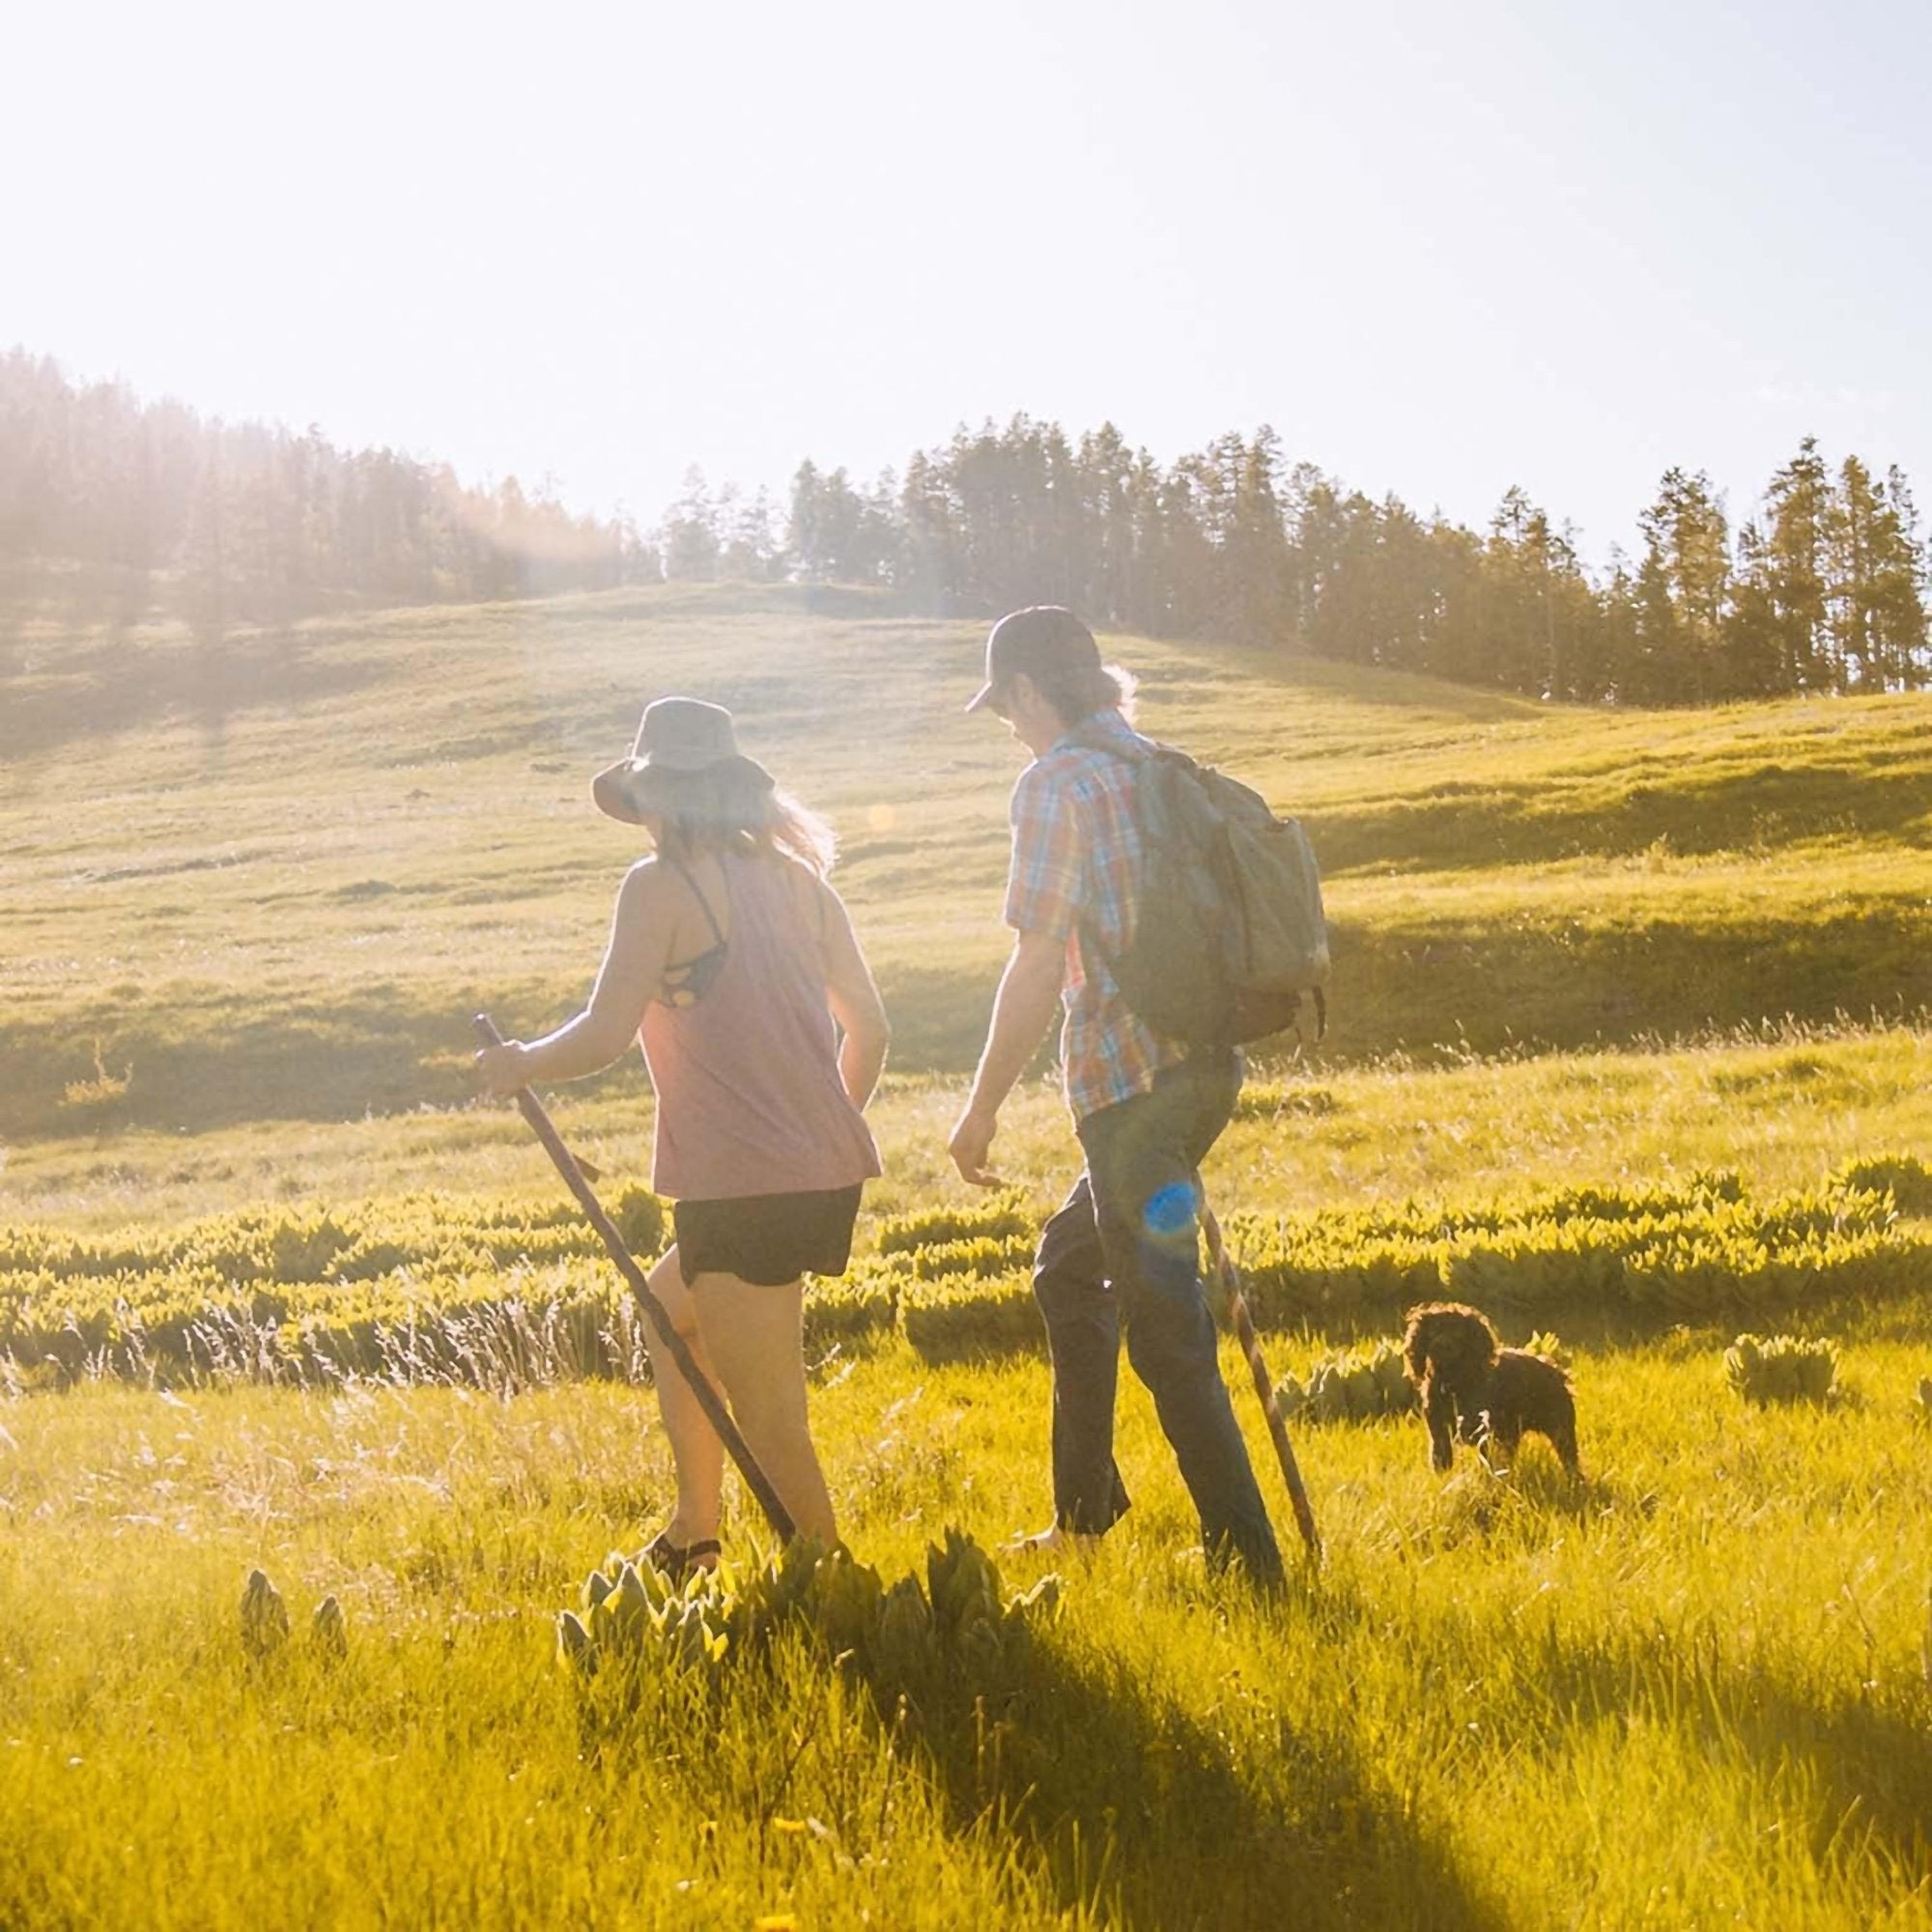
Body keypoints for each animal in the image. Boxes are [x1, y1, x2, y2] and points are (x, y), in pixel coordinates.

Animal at [1406, 1306, 1584, 1468]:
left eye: (1458, 1333)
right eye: (1432, 1331)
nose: (1440, 1345)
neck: (1454, 1383)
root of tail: (1556, 1370)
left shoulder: (1487, 1433)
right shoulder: (1439, 1430)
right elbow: (1441, 1458)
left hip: (1561, 1431)